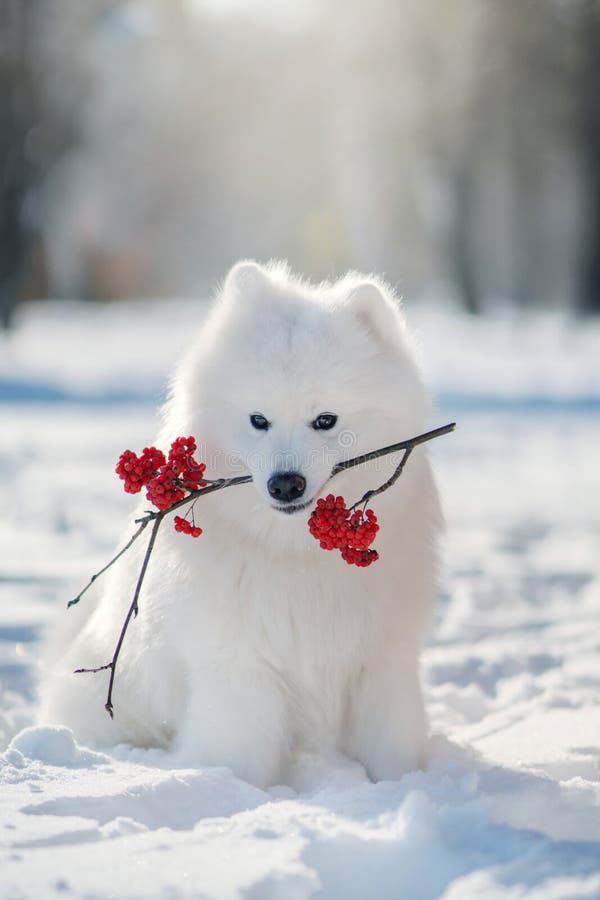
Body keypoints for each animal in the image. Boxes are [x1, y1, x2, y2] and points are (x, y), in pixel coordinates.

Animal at [38, 260, 440, 788]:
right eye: (258, 420)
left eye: (325, 420)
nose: (285, 483)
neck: (296, 555)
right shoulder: (240, 669)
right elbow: (238, 753)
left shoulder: (381, 663)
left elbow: (391, 745)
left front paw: (401, 785)